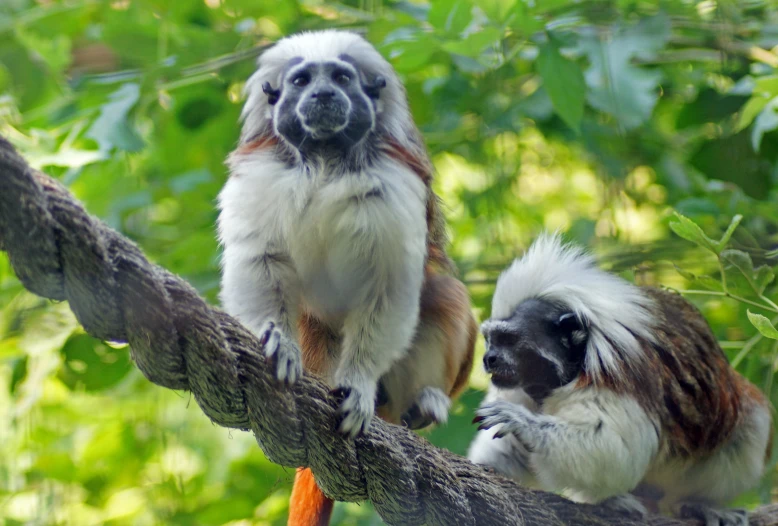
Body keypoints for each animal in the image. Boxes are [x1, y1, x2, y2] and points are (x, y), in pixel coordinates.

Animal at [215, 29, 476, 526]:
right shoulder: (262, 173)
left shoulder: (393, 181)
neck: (325, 158)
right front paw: (277, 342)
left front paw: (358, 384)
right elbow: (259, 260)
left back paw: (426, 401)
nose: (322, 95)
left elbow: (391, 285)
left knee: (444, 293)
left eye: (340, 77)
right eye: (301, 80)